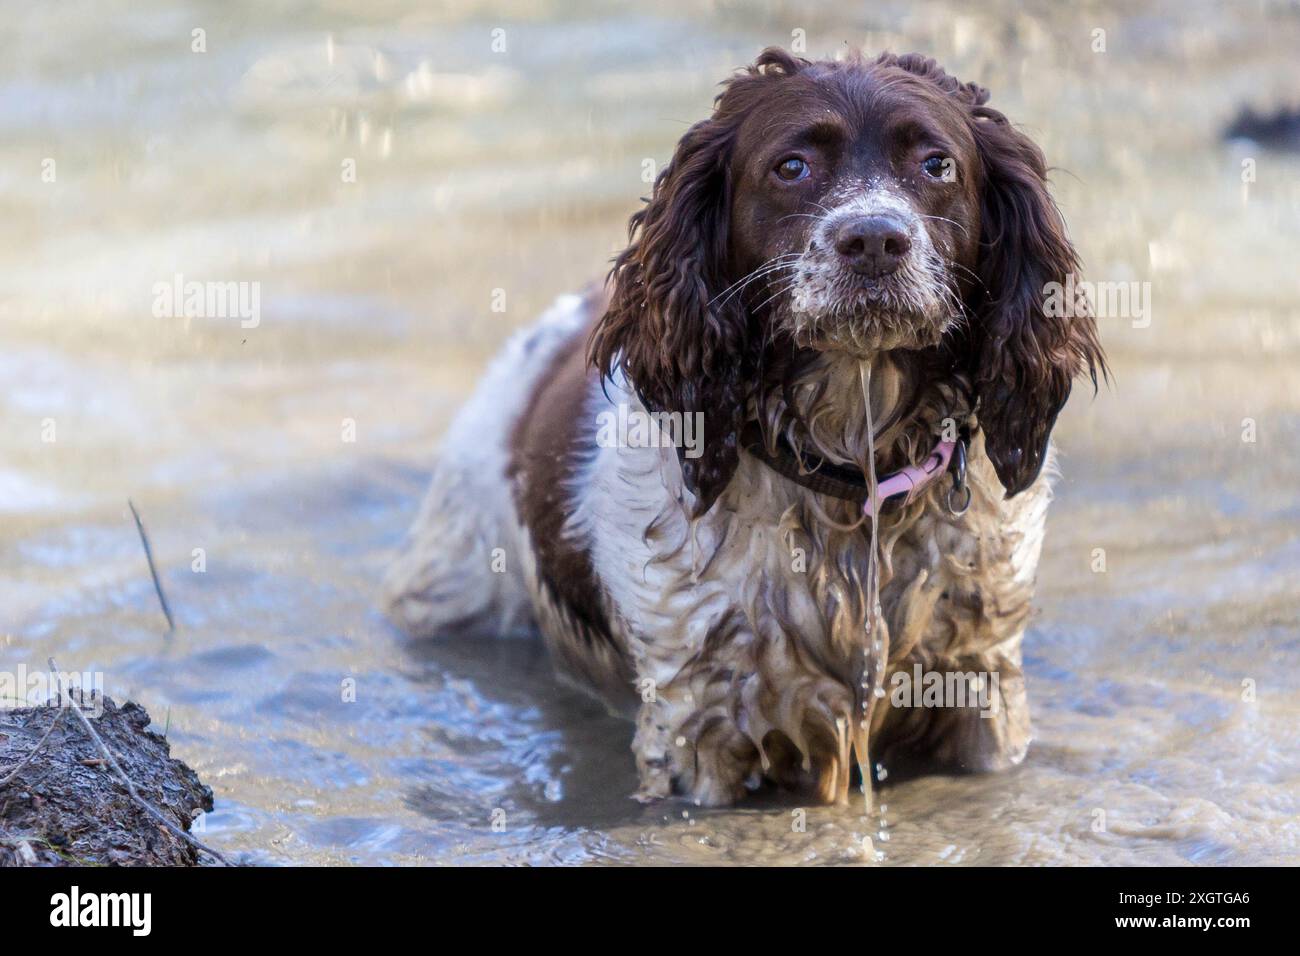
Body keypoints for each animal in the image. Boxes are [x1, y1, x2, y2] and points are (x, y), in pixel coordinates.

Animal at [384, 46, 1107, 806]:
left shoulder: (980, 684)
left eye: (937, 164)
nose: (874, 239)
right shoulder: (696, 724)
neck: (852, 478)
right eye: (791, 166)